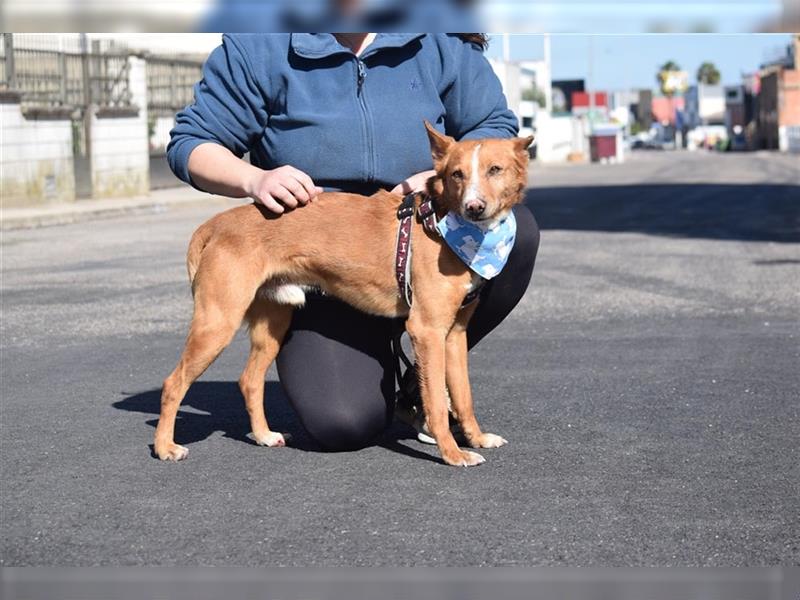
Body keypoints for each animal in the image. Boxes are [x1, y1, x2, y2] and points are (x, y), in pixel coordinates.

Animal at [154, 122, 536, 466]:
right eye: (457, 174)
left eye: (495, 169)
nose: (474, 206)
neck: (444, 224)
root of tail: (218, 223)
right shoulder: (426, 330)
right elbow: (439, 406)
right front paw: (453, 454)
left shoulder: (454, 334)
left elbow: (463, 396)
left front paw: (477, 438)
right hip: (217, 322)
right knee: (173, 382)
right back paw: (164, 447)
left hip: (272, 324)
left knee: (249, 380)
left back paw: (263, 435)